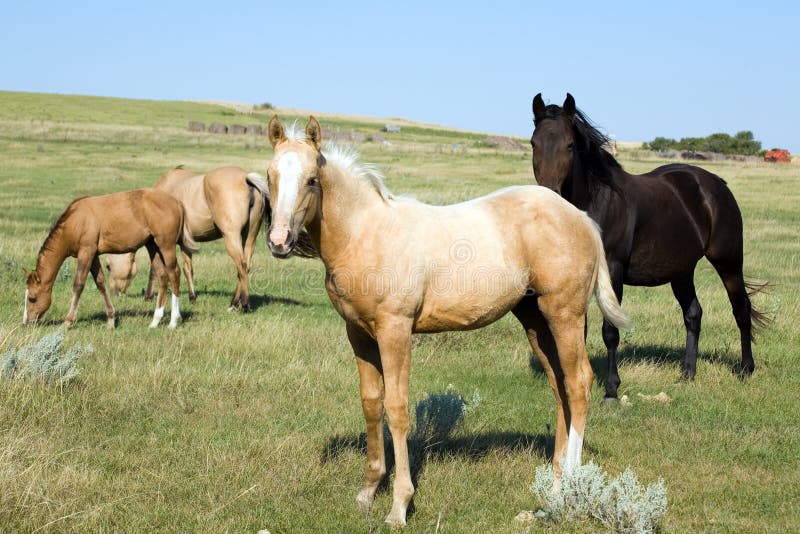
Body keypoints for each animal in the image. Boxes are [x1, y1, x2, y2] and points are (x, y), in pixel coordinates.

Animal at [22, 188, 198, 330]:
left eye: (32, 298)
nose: (26, 322)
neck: (75, 221)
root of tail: (177, 202)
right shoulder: (93, 255)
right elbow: (100, 283)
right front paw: (111, 320)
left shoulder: (86, 252)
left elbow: (78, 285)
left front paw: (68, 322)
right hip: (152, 246)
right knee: (162, 276)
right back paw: (155, 321)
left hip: (166, 245)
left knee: (174, 274)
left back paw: (173, 321)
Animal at [266, 116, 628, 528]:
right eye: (270, 175)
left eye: (312, 179)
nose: (279, 241)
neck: (367, 234)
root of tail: (581, 218)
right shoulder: (358, 333)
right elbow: (371, 403)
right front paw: (367, 492)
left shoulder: (395, 331)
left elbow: (397, 409)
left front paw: (399, 506)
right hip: (536, 321)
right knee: (560, 386)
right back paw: (552, 490)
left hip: (564, 314)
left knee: (579, 382)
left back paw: (570, 486)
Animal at [528, 93, 764, 402]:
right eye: (534, 143)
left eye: (569, 145)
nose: (548, 196)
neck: (597, 203)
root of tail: (715, 184)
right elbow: (579, 332)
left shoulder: (613, 272)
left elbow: (610, 330)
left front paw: (611, 389)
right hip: (681, 271)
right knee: (693, 314)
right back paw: (687, 373)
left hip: (728, 261)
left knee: (741, 309)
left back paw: (746, 369)